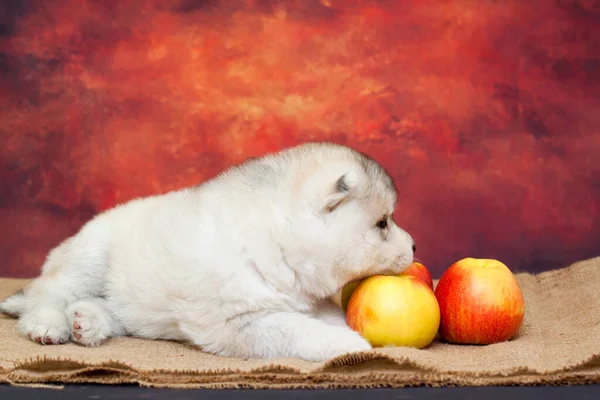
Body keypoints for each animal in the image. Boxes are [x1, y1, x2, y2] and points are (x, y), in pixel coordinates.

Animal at [0, 142, 414, 360]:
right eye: (382, 223)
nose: (413, 245)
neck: (276, 242)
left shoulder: (309, 301)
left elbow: (325, 317)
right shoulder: (239, 321)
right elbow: (298, 330)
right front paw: (353, 345)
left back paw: (88, 322)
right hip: (90, 256)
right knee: (47, 293)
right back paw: (48, 325)